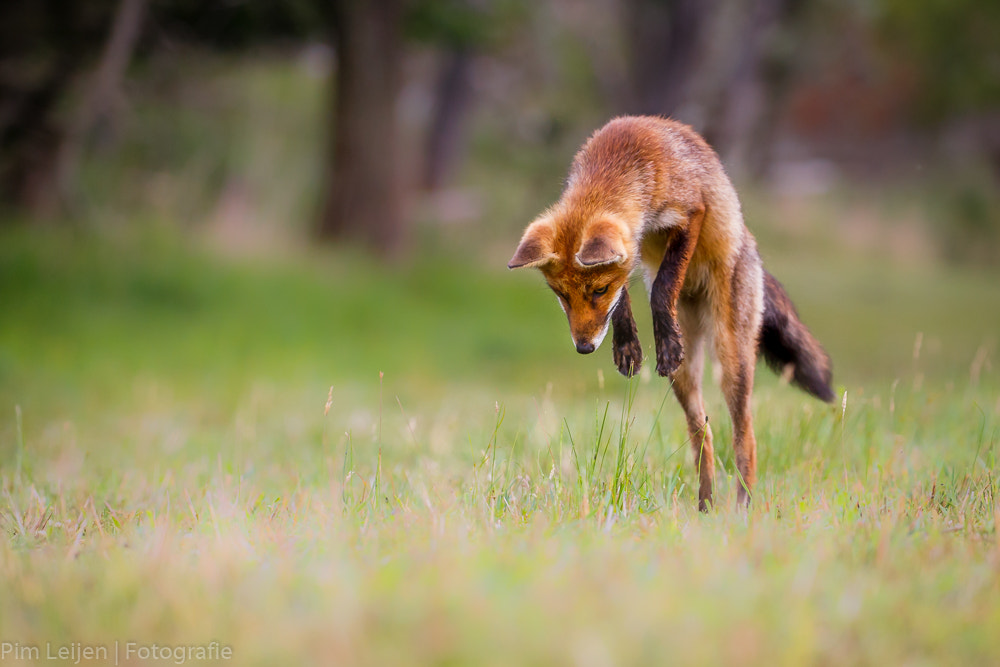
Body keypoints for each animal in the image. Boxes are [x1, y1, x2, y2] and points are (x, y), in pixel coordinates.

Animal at [508, 116, 836, 512]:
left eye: (598, 290)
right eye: (561, 295)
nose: (584, 348)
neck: (622, 157)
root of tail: (751, 246)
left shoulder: (690, 212)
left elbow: (663, 286)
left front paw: (663, 339)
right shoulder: (631, 248)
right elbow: (626, 299)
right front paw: (627, 346)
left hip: (732, 359)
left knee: (746, 439)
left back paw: (742, 509)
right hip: (685, 377)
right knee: (703, 436)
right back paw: (705, 508)